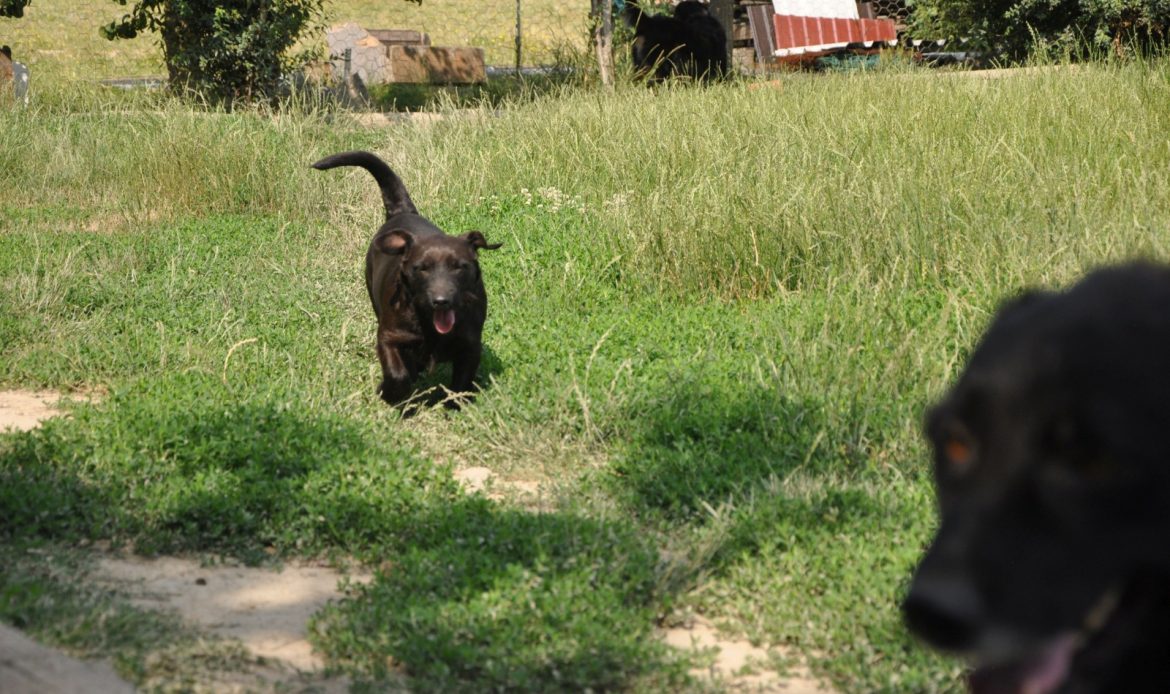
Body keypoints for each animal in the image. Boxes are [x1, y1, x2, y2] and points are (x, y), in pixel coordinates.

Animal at [312, 151, 501, 408]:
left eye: (459, 267)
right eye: (421, 268)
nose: (441, 301)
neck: (428, 325)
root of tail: (403, 212)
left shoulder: (470, 344)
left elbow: (461, 382)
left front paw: (453, 405)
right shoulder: (389, 337)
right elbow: (397, 372)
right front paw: (390, 392)